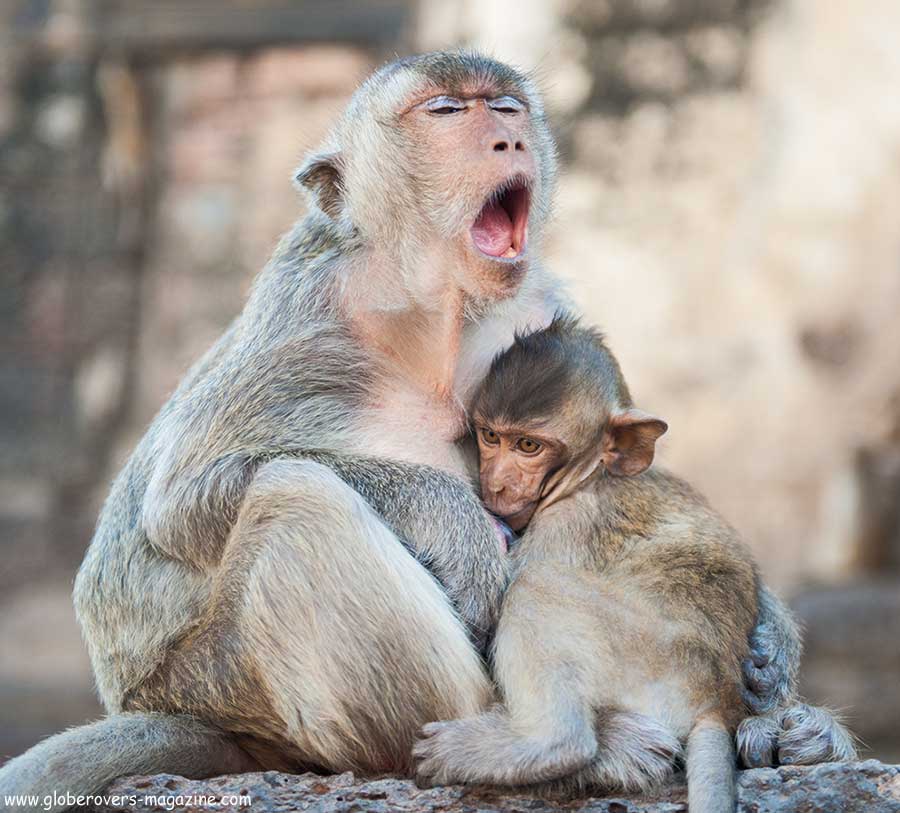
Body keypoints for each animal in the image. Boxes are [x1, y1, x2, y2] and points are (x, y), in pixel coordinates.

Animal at [414, 316, 768, 812]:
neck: (590, 477)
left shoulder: (566, 527)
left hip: (645, 652)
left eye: (528, 445)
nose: (497, 484)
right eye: (490, 437)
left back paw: (540, 744)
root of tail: (719, 697)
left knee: (536, 589)